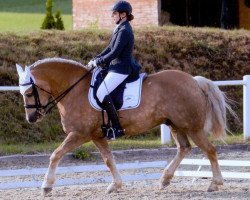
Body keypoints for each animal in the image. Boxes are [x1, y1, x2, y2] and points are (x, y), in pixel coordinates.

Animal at [16, 57, 233, 195]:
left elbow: (56, 154)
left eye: (29, 93)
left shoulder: (79, 134)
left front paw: (46, 186)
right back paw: (165, 179)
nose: (32, 118)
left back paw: (215, 184)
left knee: (210, 150)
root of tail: (194, 81)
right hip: (175, 125)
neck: (75, 89)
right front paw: (116, 185)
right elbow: (108, 160)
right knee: (184, 148)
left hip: (192, 127)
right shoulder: (97, 136)